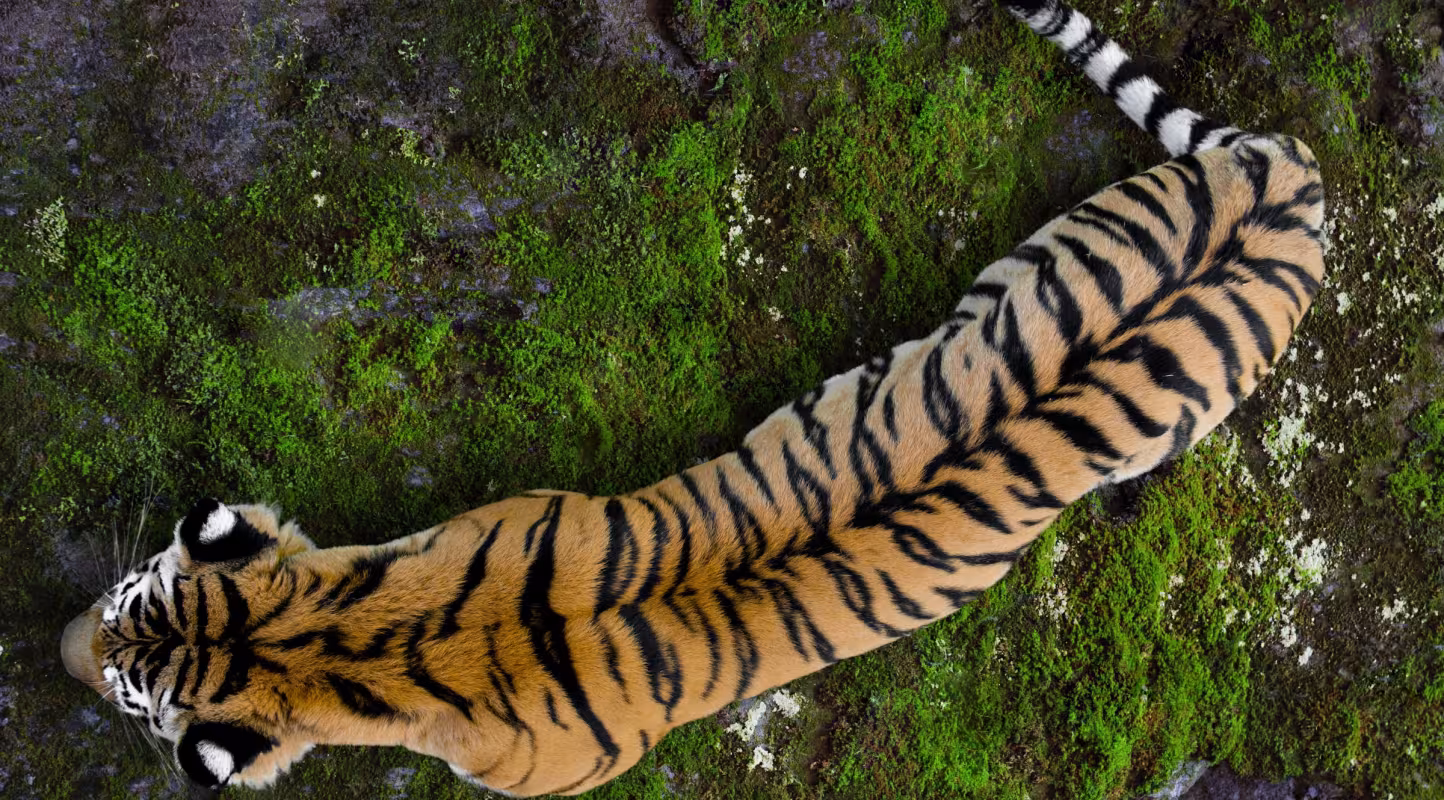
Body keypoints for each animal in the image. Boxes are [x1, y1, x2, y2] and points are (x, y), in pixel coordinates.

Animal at [61, 0, 1325, 795]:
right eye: (119, 603)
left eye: (125, 690)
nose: (56, 643)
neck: (340, 634)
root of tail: (1291, 172)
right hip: (1031, 260)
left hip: (1184, 396)